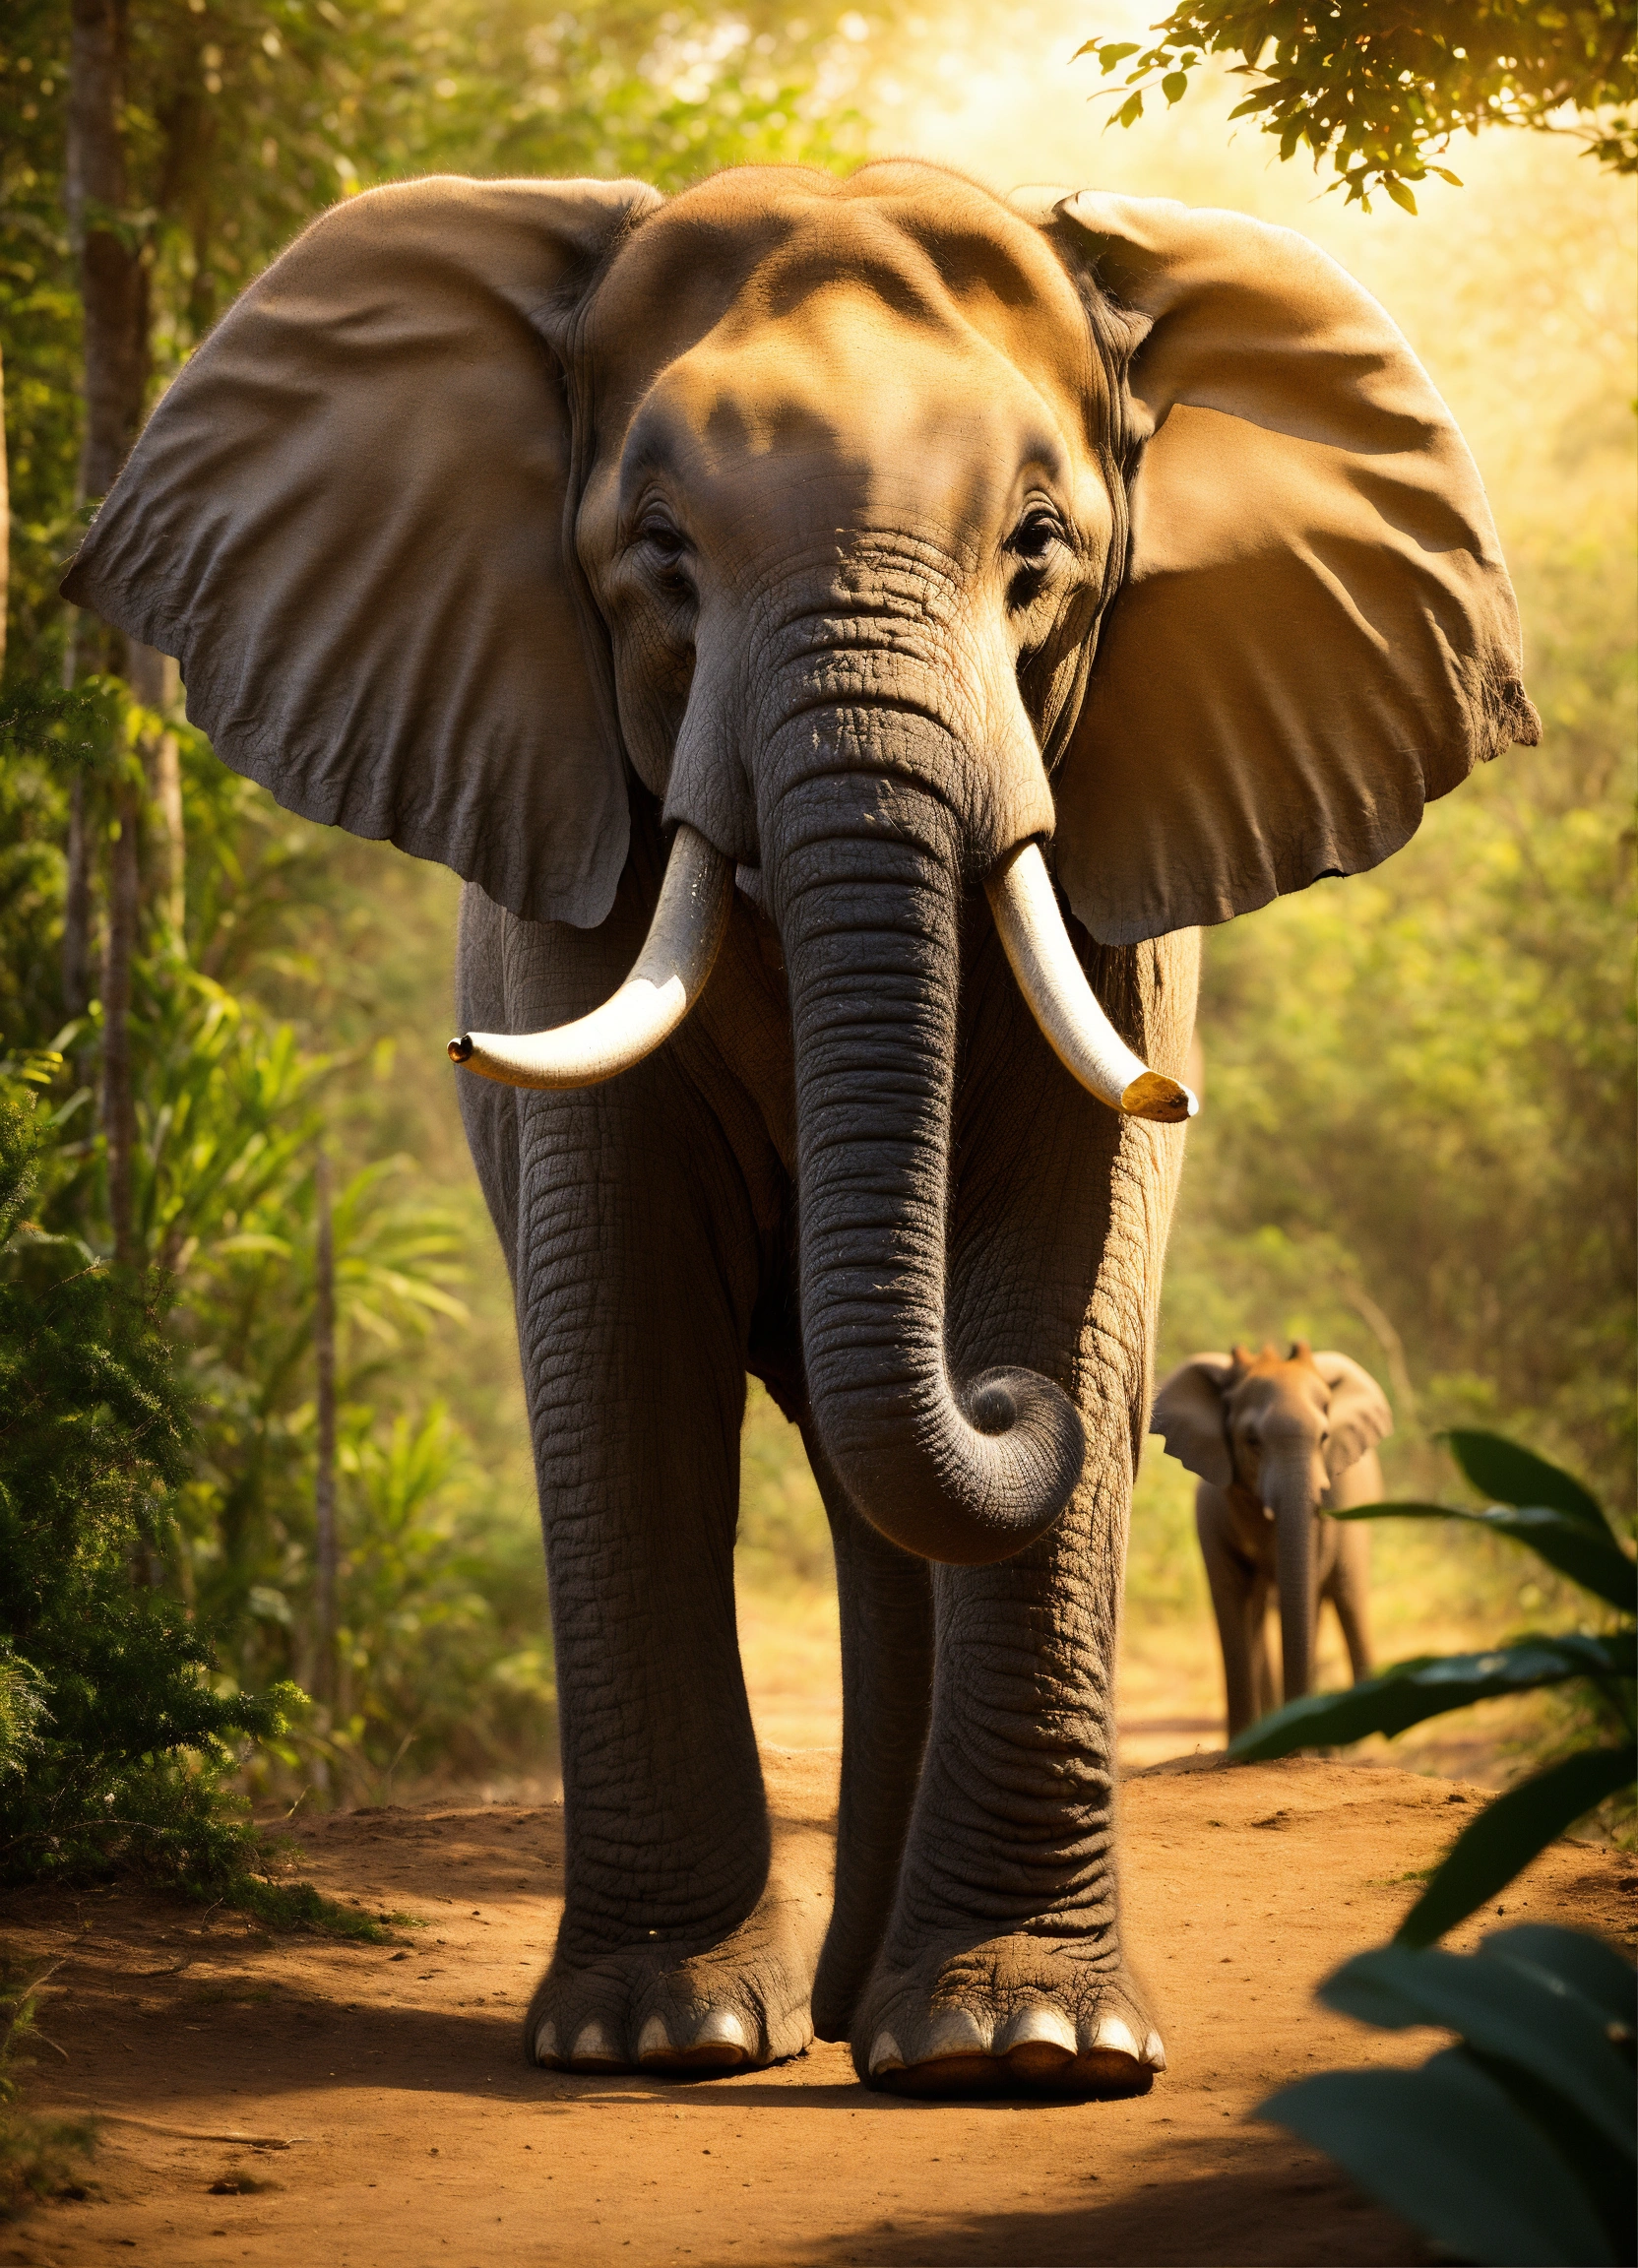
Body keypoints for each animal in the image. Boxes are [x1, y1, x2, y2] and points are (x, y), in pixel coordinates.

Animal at [1152, 1343, 1394, 1739]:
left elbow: (1304, 1594)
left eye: (1324, 1438)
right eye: (1251, 1441)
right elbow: (1230, 1599)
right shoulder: (1210, 1512)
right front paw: (1243, 1747)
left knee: (1347, 1595)